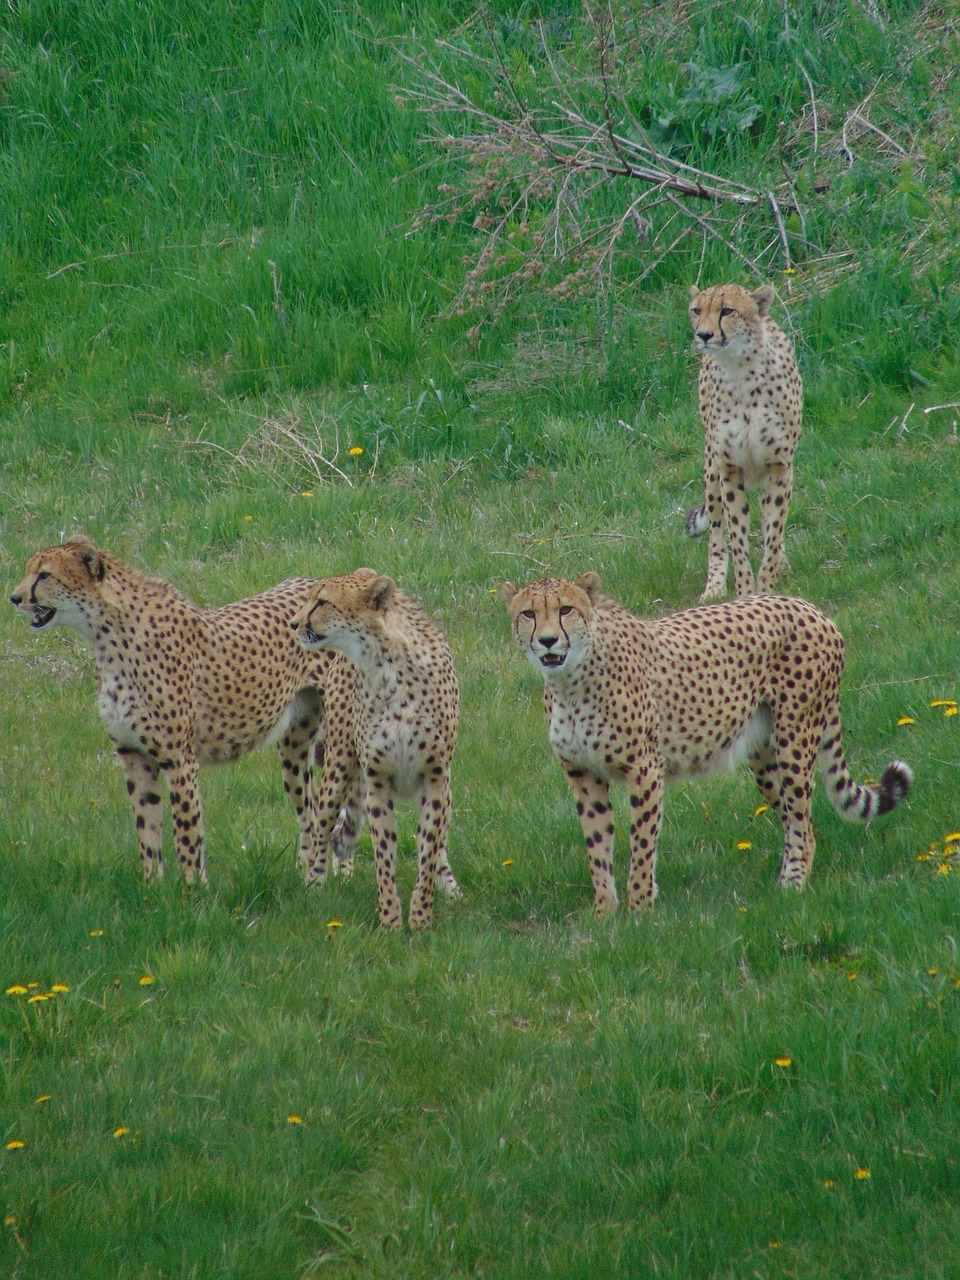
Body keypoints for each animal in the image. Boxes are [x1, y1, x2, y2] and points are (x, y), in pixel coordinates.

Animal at [9, 535, 350, 885]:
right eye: (29, 570)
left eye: (45, 575)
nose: (14, 597)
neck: (108, 638)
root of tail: (316, 580)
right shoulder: (133, 754)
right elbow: (147, 831)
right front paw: (152, 888)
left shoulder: (179, 760)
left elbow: (187, 834)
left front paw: (193, 891)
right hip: (296, 746)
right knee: (312, 814)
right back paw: (307, 876)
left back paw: (337, 878)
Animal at [289, 570, 463, 931]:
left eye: (322, 602)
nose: (294, 623)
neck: (387, 665)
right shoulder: (378, 781)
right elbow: (384, 853)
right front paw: (390, 922)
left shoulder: (436, 779)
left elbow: (428, 850)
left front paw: (421, 920)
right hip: (338, 768)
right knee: (321, 828)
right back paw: (314, 883)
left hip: (447, 790)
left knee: (440, 841)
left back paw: (450, 887)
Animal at [504, 576, 916, 916]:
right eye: (529, 613)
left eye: (565, 609)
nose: (547, 640)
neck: (569, 680)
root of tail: (810, 607)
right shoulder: (584, 775)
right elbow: (598, 847)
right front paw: (605, 913)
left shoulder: (644, 770)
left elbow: (641, 844)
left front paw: (639, 909)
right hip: (765, 760)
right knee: (796, 818)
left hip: (795, 742)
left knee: (802, 820)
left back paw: (792, 887)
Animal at [686, 282, 803, 601]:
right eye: (696, 310)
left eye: (727, 311)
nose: (703, 335)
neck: (740, 368)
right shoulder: (729, 469)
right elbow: (737, 539)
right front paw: (743, 592)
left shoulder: (780, 467)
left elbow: (773, 532)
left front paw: (765, 589)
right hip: (711, 471)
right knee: (716, 532)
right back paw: (714, 586)